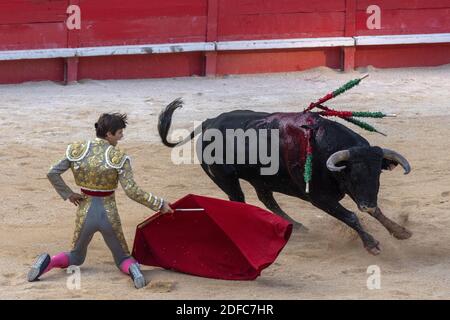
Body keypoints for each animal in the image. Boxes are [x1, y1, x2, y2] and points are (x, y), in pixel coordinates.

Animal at [160, 98, 414, 255]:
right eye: (353, 175)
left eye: (377, 175)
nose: (366, 203)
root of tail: (209, 122)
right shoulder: (320, 197)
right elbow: (350, 216)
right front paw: (372, 245)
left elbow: (375, 212)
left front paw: (400, 232)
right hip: (224, 178)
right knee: (239, 200)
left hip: (259, 180)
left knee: (266, 199)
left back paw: (296, 226)